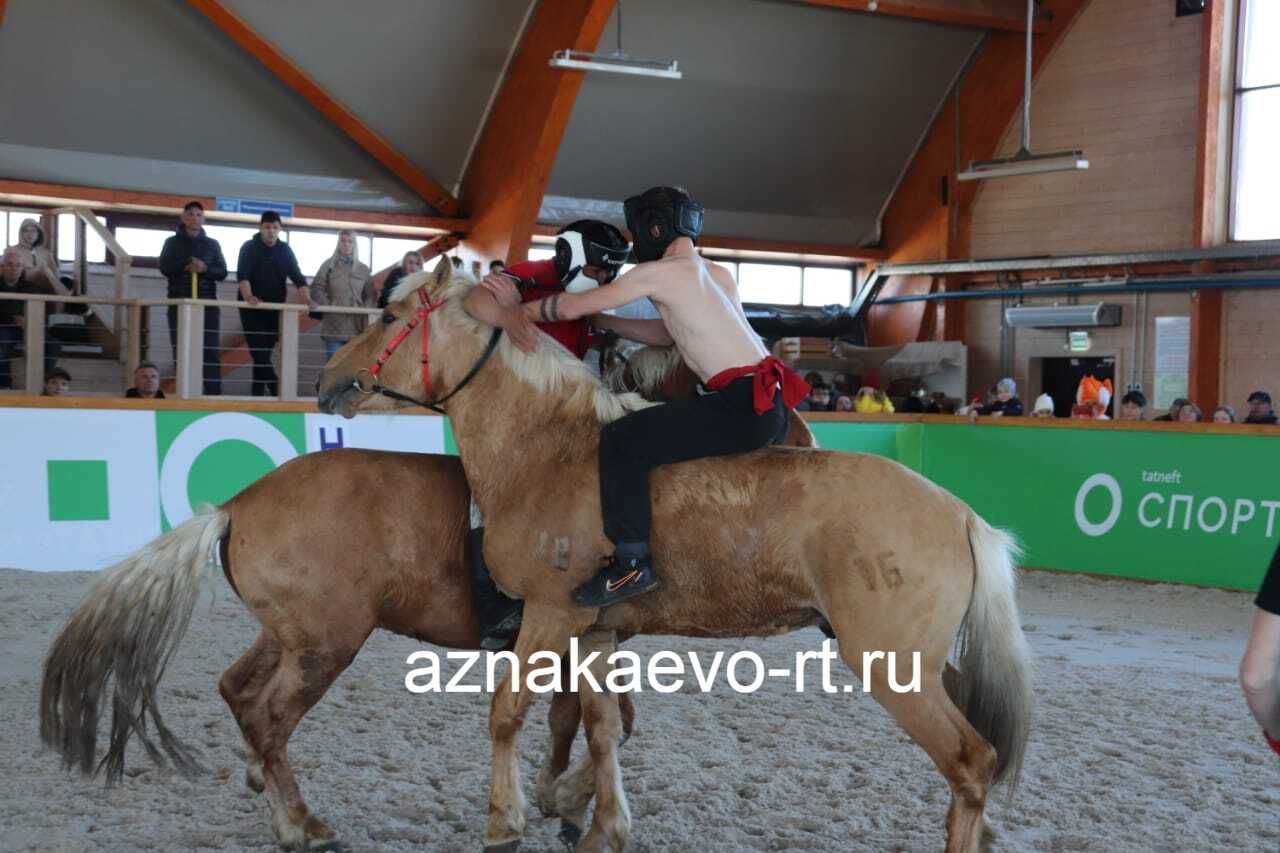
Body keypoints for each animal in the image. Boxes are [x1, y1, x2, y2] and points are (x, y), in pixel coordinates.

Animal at [317, 258, 1029, 850]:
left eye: (388, 317)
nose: (326, 381)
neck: (549, 451)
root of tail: (961, 515)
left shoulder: (548, 618)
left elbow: (507, 713)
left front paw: (506, 819)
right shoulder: (593, 632)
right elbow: (602, 728)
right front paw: (599, 823)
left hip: (893, 666)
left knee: (971, 760)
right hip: (923, 664)